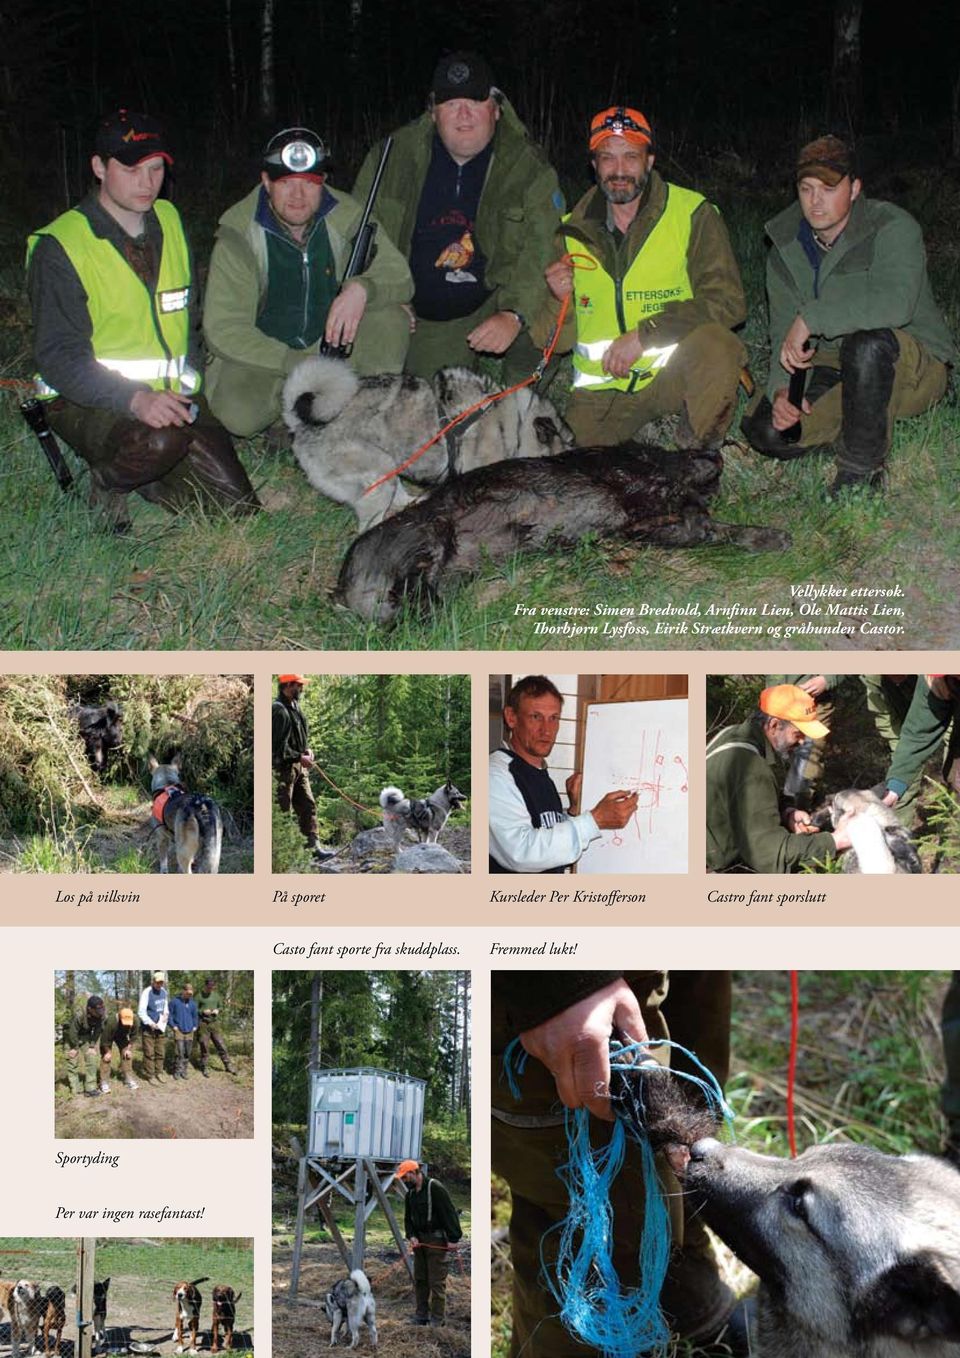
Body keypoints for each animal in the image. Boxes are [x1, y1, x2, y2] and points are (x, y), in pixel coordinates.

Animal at [281, 355, 575, 529]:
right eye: (568, 451)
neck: (516, 423)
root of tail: (299, 424)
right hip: (378, 471)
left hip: (389, 467)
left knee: (399, 498)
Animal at [334, 445, 792, 624]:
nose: (716, 452)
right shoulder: (628, 479)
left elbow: (712, 528)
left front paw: (771, 537)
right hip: (430, 534)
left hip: (450, 566)